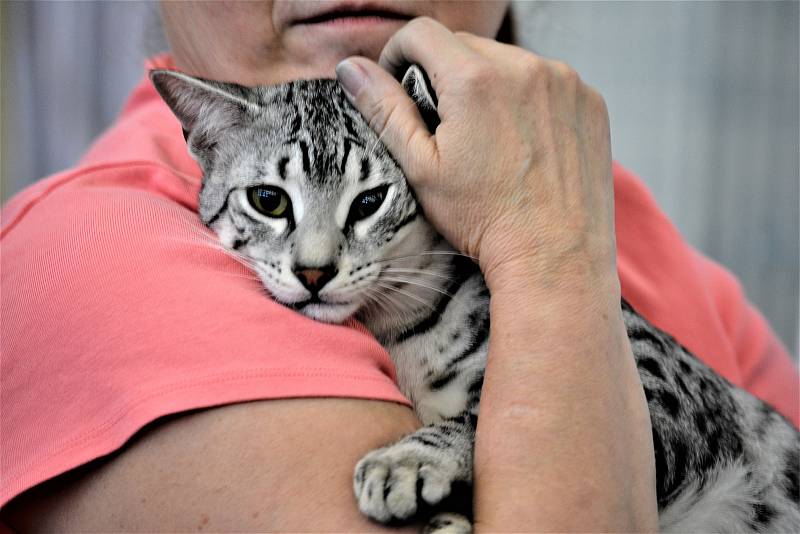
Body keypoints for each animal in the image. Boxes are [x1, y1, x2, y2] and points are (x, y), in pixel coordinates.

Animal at [152, 68, 800, 534]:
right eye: (269, 199)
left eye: (369, 202)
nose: (314, 272)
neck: (407, 334)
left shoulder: (664, 388)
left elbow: (480, 414)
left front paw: (409, 461)